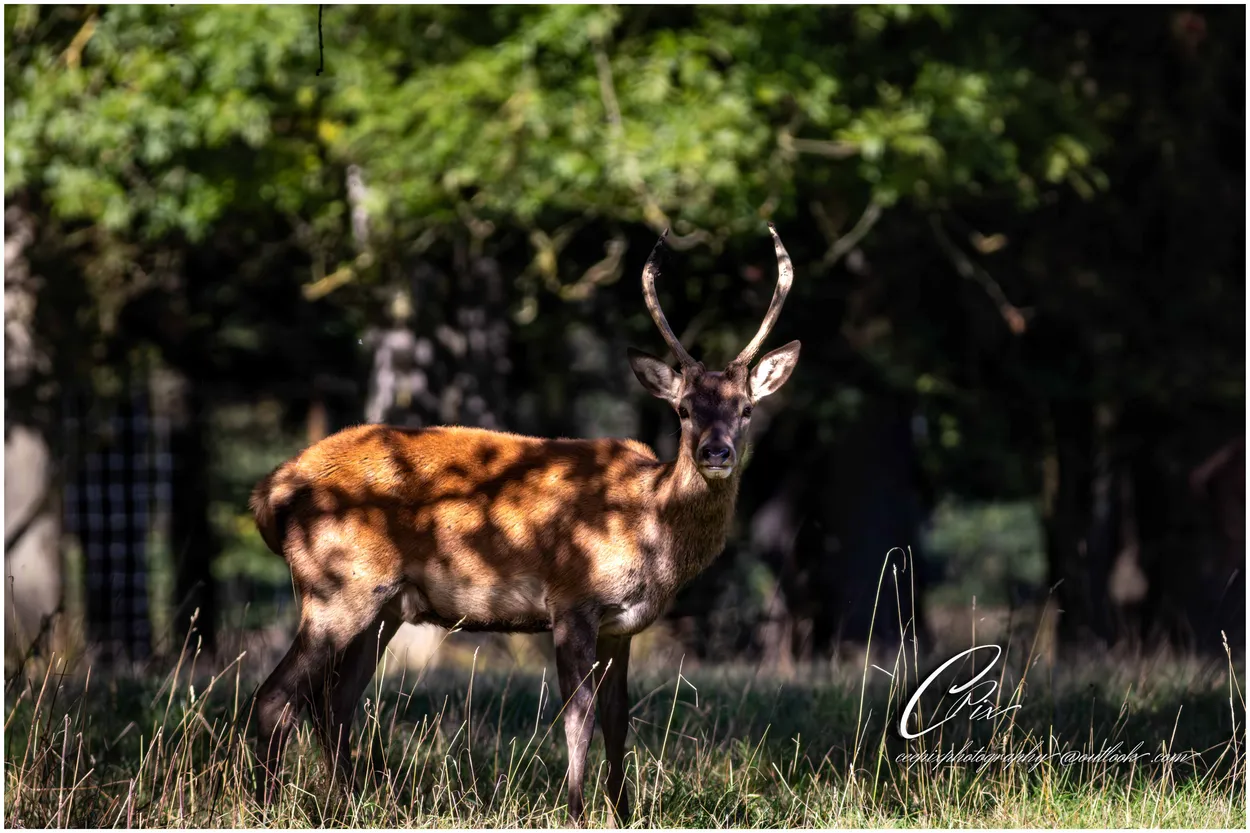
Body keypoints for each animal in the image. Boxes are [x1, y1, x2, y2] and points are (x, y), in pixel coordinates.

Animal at [249, 224, 801, 824]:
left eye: (746, 408)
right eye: (683, 410)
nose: (716, 452)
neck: (646, 525)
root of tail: (270, 491)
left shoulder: (621, 625)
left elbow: (618, 719)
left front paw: (624, 813)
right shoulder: (572, 600)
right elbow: (579, 718)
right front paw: (577, 813)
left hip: (383, 606)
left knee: (334, 703)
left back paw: (357, 807)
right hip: (335, 588)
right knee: (275, 697)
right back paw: (267, 808)